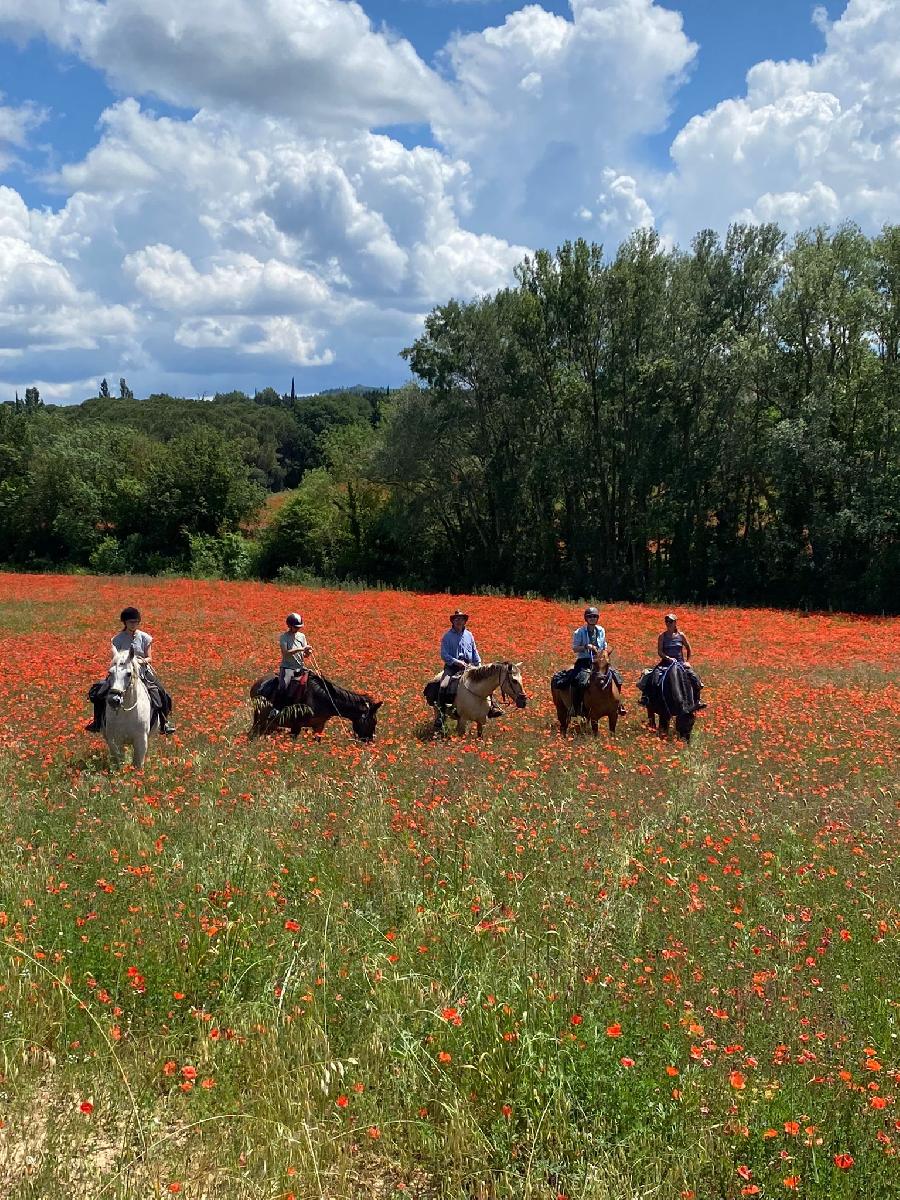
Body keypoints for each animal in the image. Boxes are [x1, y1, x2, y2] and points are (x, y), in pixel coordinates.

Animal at [250, 672, 384, 734]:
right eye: (373, 721)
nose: (370, 741)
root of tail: (256, 684)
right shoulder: (296, 726)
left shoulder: (319, 726)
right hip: (260, 719)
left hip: (270, 724)